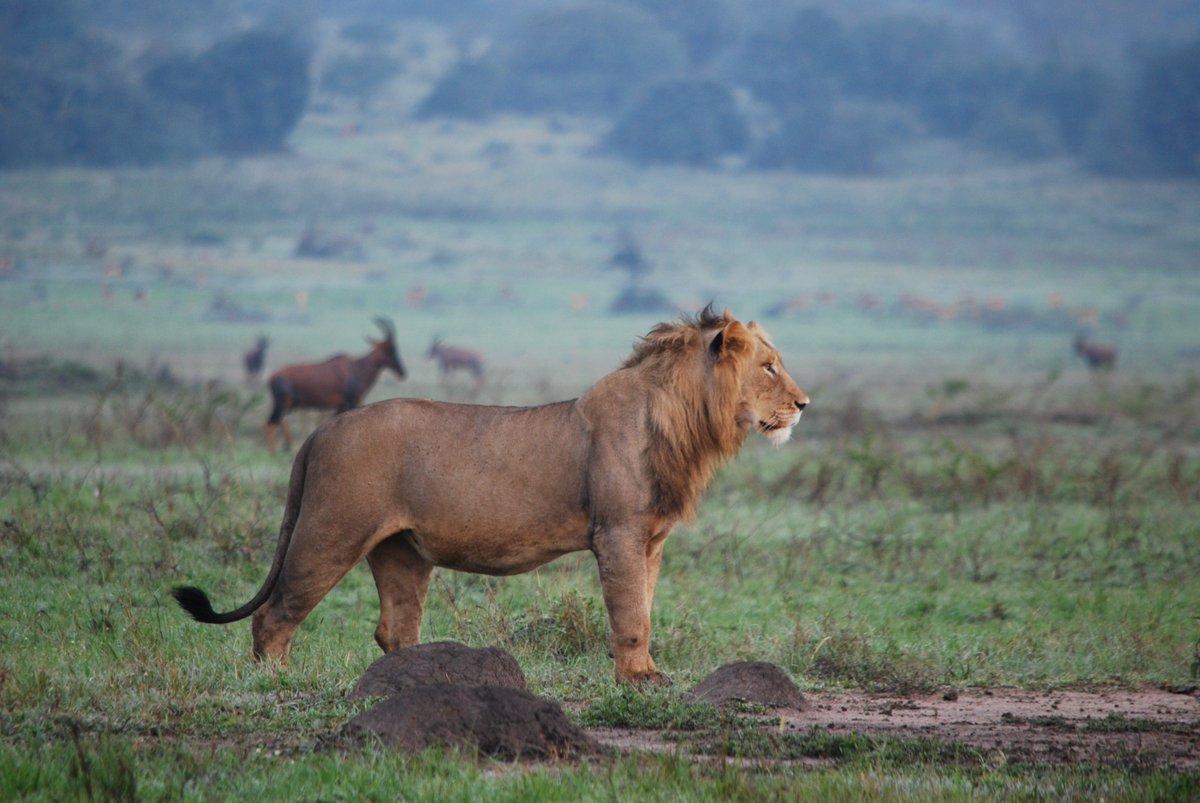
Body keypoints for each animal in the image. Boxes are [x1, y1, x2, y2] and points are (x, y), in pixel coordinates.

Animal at [173, 306, 808, 684]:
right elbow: (630, 614)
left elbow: (646, 610)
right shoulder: (619, 534)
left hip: (400, 550)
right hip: (330, 533)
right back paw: (275, 686)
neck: (684, 421)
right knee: (274, 616)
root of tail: (321, 432)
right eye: (770, 367)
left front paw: (647, 673)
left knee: (393, 629)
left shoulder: (651, 541)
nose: (804, 405)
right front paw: (639, 681)